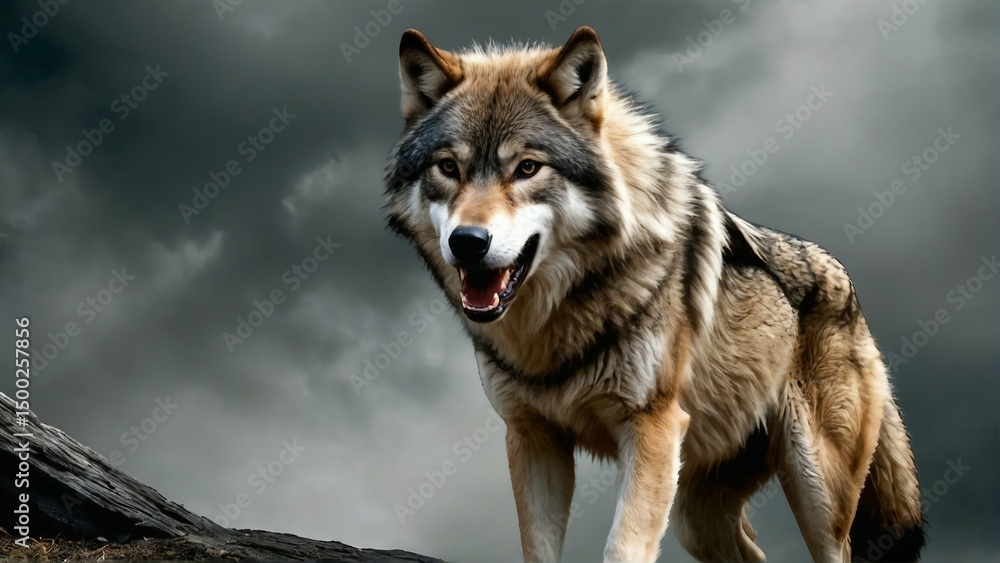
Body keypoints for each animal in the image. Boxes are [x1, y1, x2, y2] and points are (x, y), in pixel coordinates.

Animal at [383, 26, 925, 563]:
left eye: (528, 168)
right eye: (448, 167)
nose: (467, 242)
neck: (557, 323)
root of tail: (848, 285)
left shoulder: (651, 428)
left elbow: (622, 548)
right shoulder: (533, 435)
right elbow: (538, 549)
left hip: (816, 495)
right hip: (697, 517)